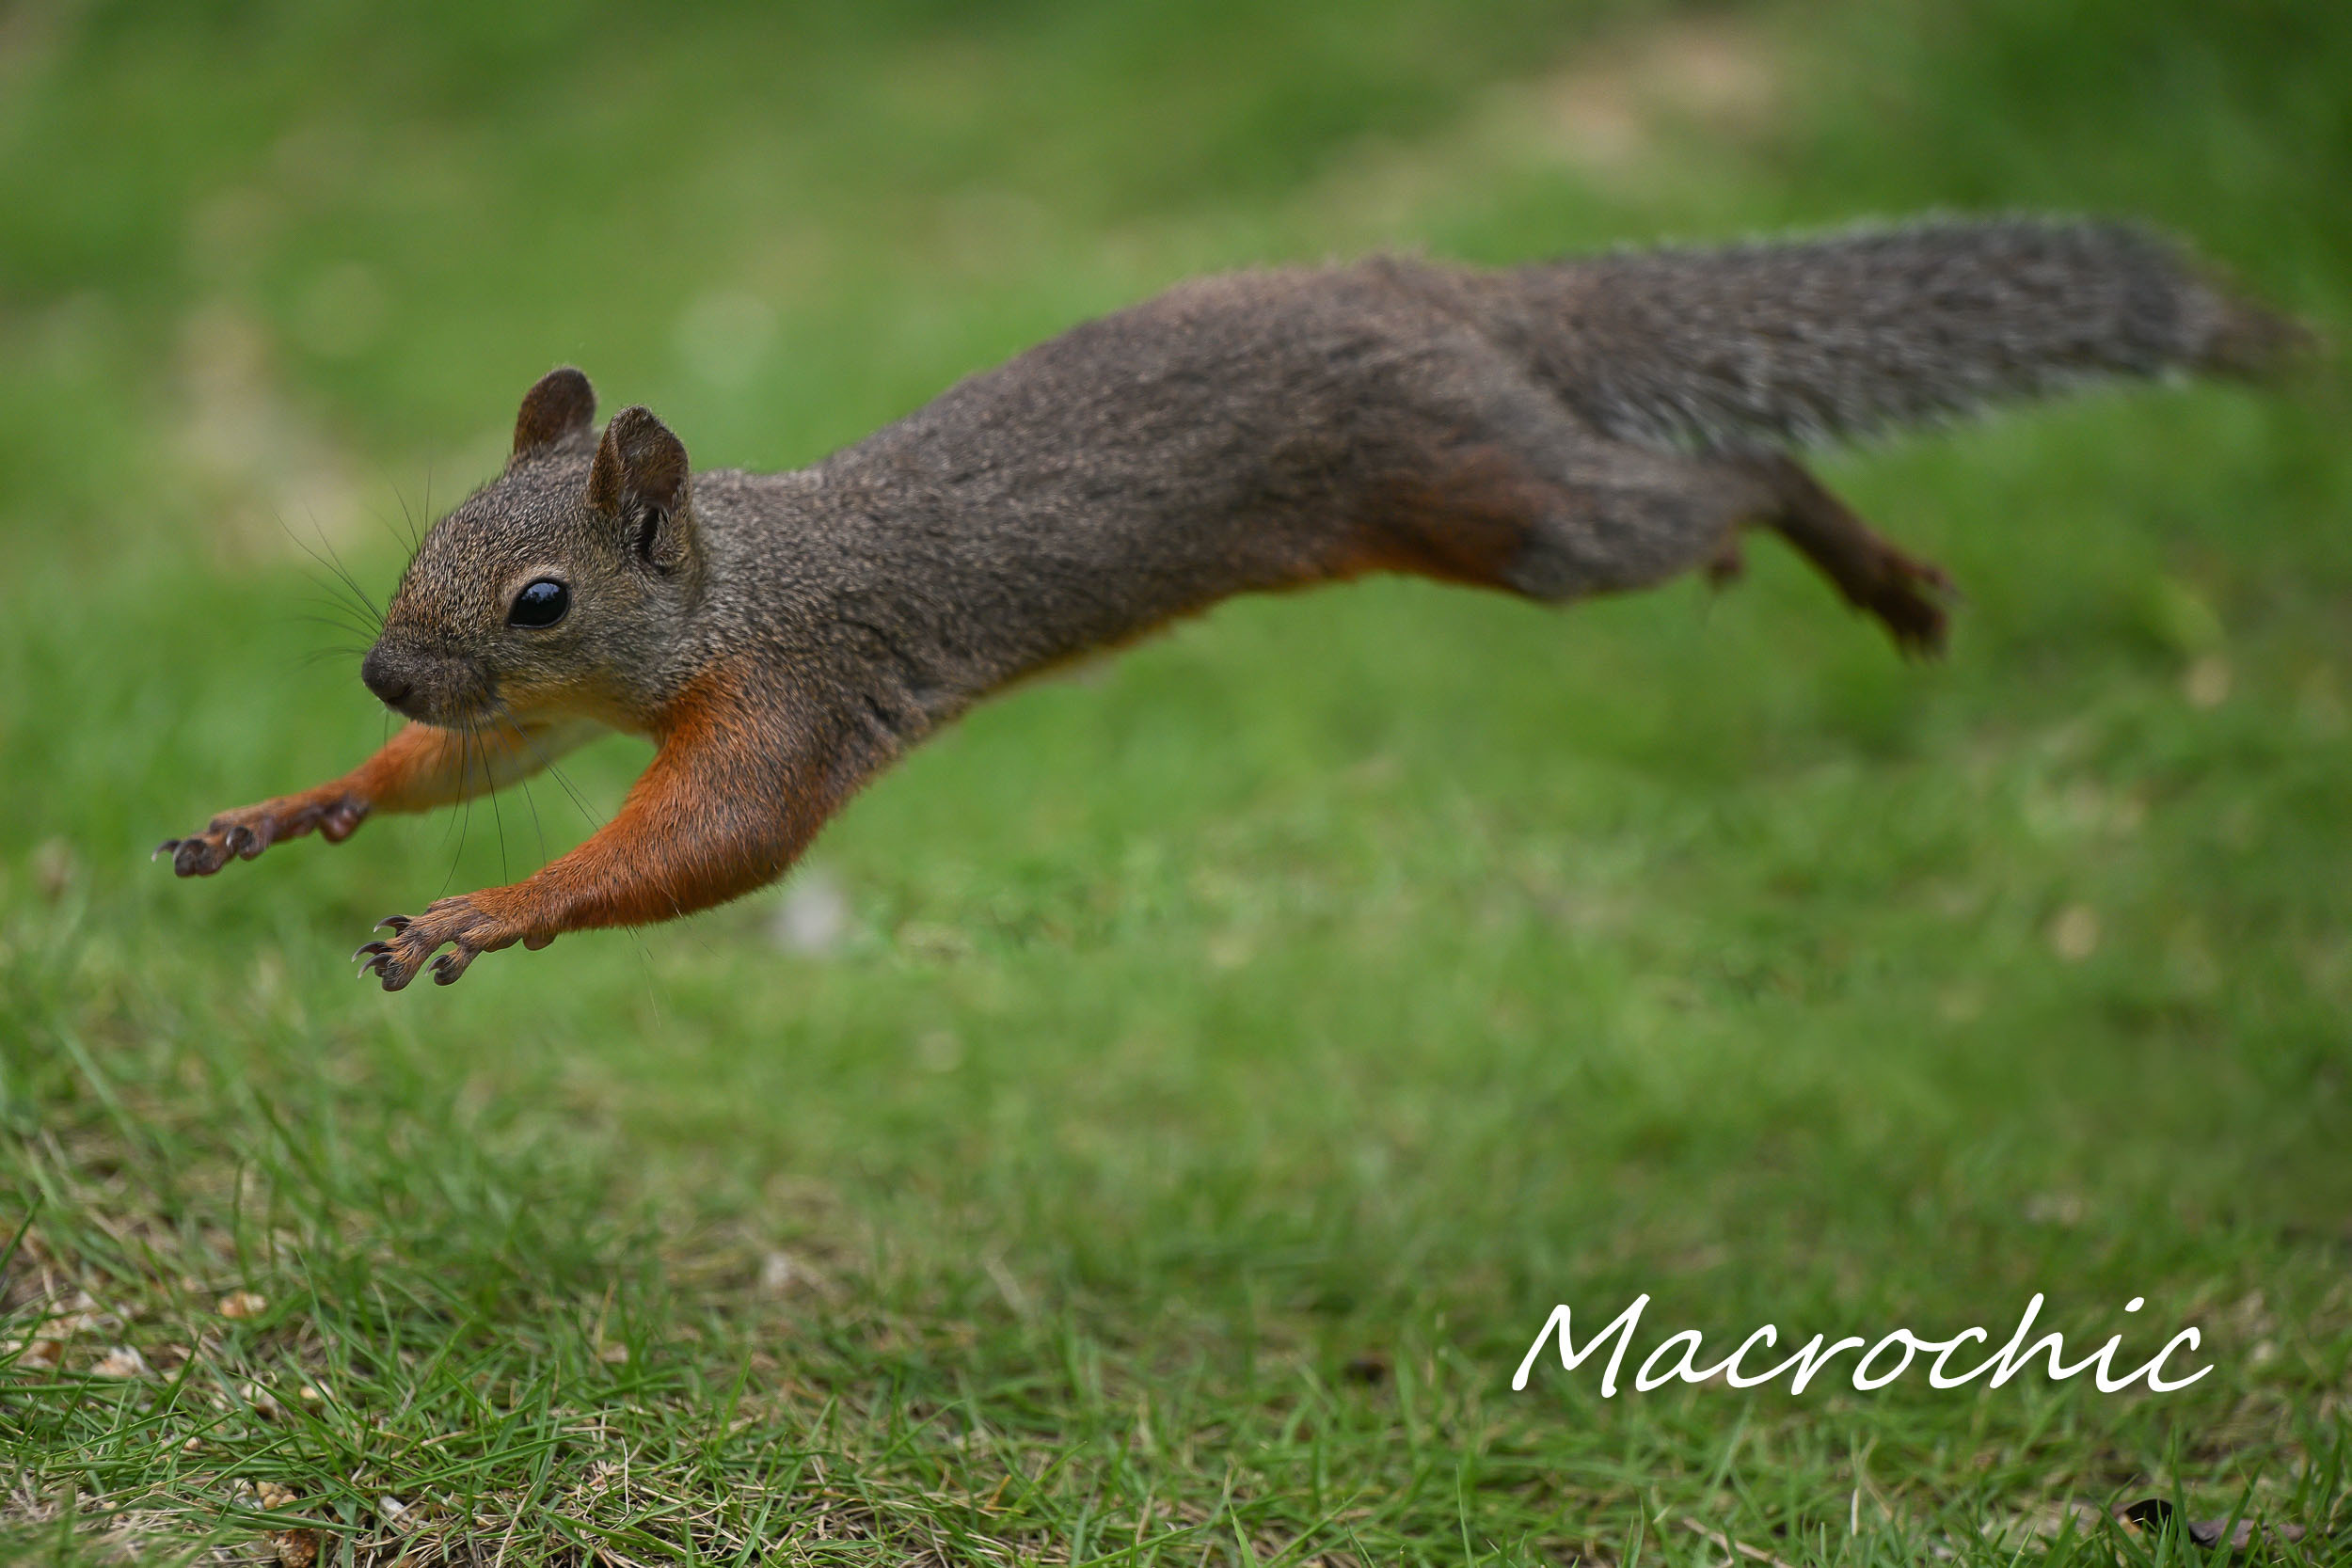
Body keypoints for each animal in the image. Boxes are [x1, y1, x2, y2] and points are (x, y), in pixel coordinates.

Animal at [161, 217, 2296, 991]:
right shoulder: (548, 726)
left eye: (539, 590)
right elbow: (467, 773)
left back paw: (1858, 565)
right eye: (431, 537)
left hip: (1516, 505)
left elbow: (709, 844)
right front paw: (291, 804)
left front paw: (486, 913)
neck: (732, 588)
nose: (384, 662)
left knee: (1727, 473)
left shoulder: (796, 693)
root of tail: (1452, 293)